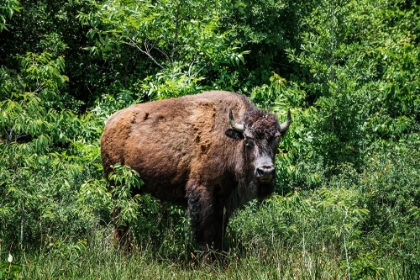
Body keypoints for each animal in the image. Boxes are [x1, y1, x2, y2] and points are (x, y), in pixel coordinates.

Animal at [101, 91, 292, 250]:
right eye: (248, 139)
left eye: (276, 138)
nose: (265, 171)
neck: (230, 139)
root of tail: (109, 124)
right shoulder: (203, 191)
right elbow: (205, 230)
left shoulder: (224, 198)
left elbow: (219, 230)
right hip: (118, 186)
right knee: (120, 219)